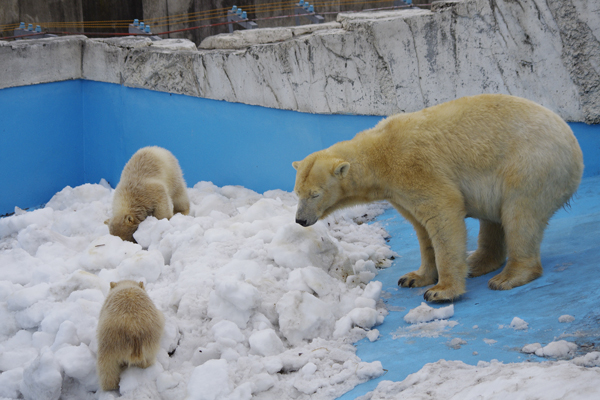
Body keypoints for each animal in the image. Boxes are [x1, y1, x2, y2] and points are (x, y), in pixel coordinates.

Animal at [292, 93, 584, 300]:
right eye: (297, 193)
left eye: (315, 194)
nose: (300, 220)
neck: (378, 155)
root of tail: (571, 140)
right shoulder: (399, 192)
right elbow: (421, 229)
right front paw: (414, 277)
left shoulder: (415, 168)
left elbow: (443, 214)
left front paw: (441, 291)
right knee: (496, 219)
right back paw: (476, 262)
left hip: (530, 165)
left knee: (519, 215)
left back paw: (507, 277)